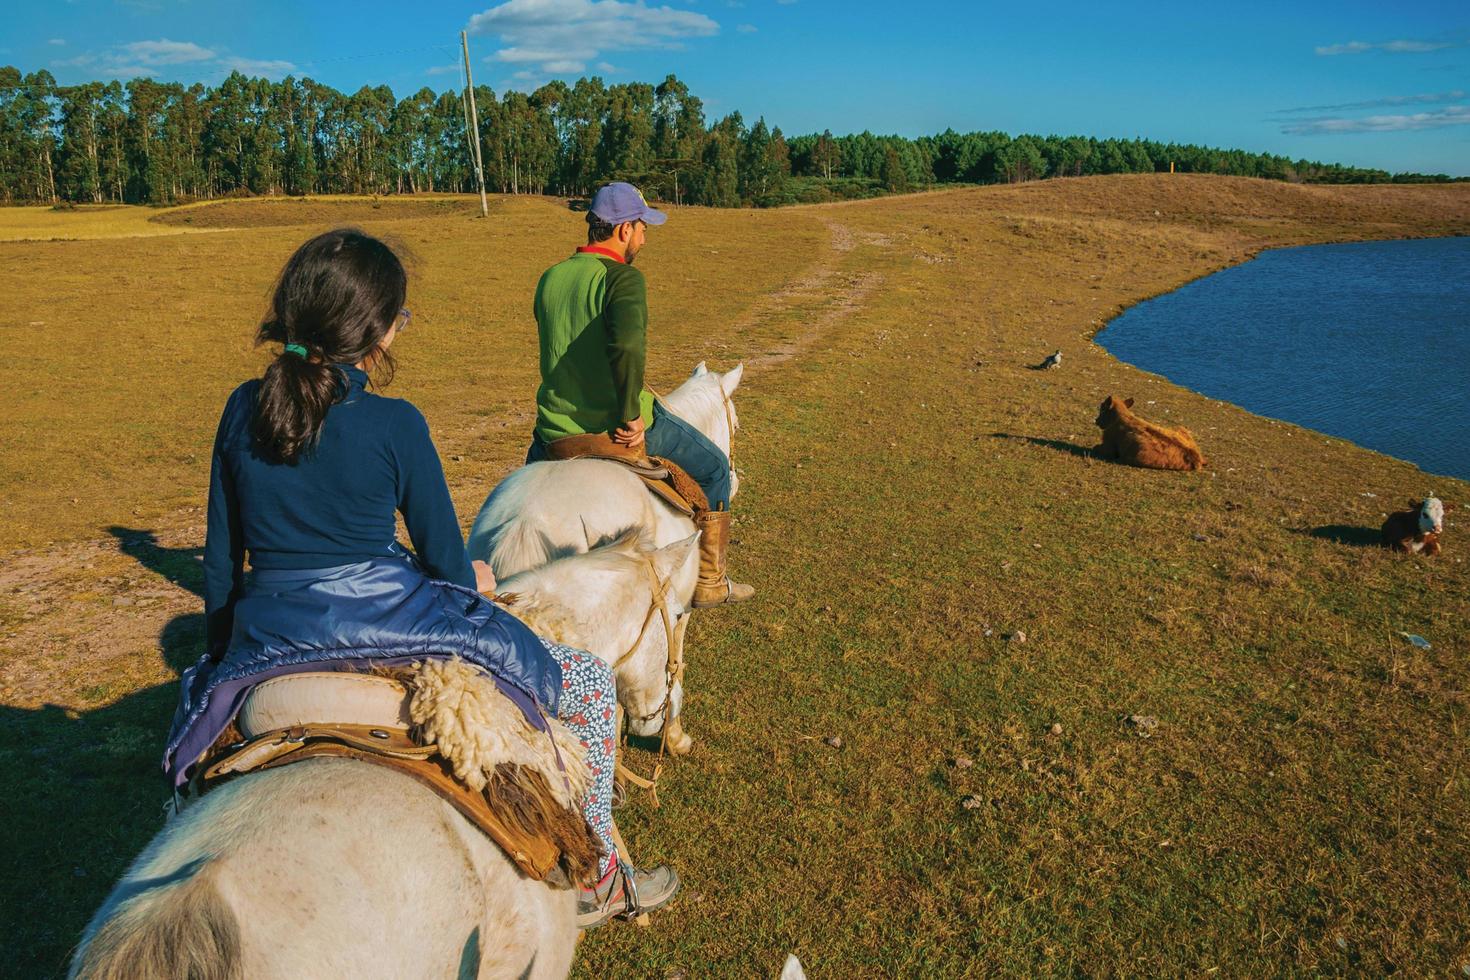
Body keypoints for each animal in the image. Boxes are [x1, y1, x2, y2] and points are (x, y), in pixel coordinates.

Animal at [467, 359, 746, 752]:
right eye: (735, 423)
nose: (734, 479)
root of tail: (525, 522)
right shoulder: (677, 610)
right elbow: (673, 665)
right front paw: (675, 738)